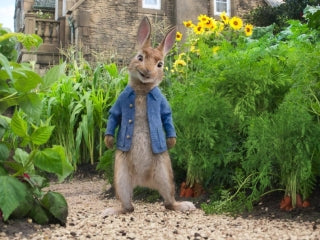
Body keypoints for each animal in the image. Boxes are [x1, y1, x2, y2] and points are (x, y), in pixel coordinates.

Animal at [102, 16, 196, 216]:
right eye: (140, 57)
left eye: (160, 64)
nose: (147, 72)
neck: (142, 90)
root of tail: (143, 182)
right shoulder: (120, 104)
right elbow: (114, 116)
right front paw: (109, 141)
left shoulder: (162, 106)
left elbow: (167, 118)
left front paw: (171, 142)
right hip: (121, 178)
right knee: (128, 206)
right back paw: (110, 211)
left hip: (165, 175)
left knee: (168, 202)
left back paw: (185, 206)